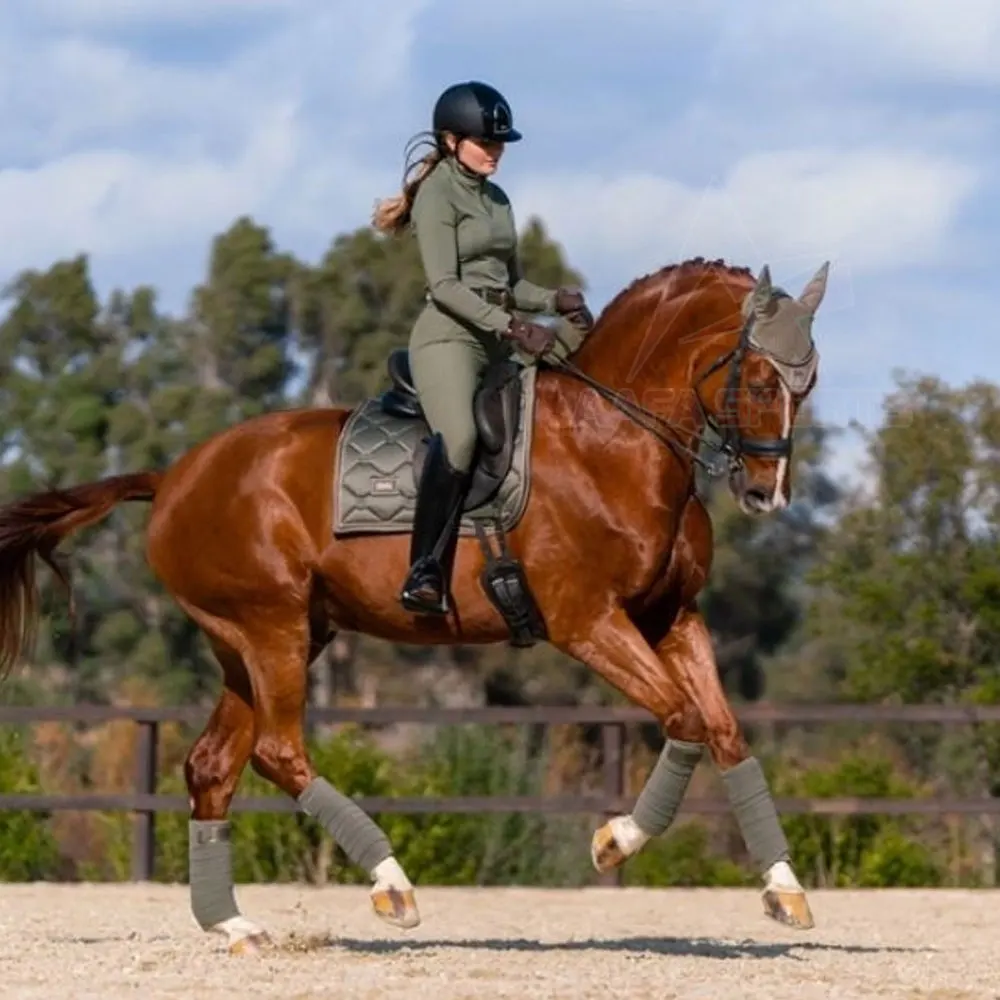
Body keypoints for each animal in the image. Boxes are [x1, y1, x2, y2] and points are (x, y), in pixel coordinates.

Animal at [0, 255, 829, 953]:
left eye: (807, 384)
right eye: (762, 383)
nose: (768, 495)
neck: (616, 439)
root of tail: (175, 475)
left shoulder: (673, 619)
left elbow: (725, 733)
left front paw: (785, 891)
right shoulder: (588, 622)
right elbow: (684, 719)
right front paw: (614, 841)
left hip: (261, 643)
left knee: (212, 766)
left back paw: (235, 926)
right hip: (270, 629)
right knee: (277, 752)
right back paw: (391, 886)